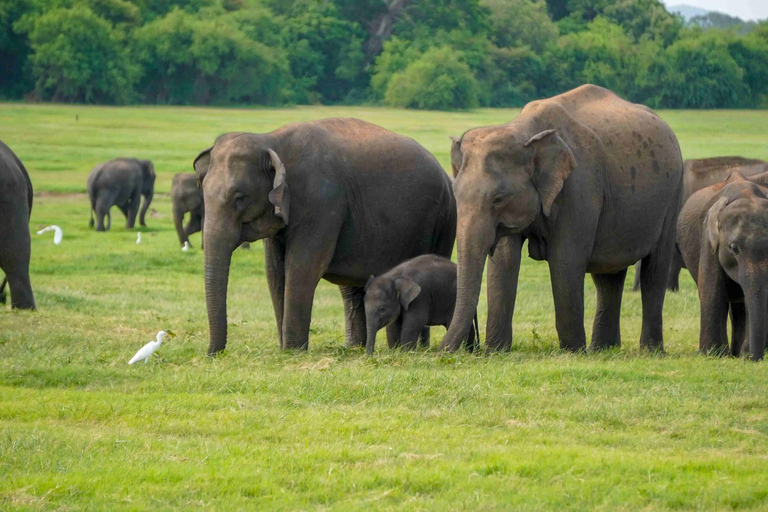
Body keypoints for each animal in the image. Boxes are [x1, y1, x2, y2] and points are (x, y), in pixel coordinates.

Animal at [194, 118, 457, 354]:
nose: (213, 354)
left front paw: (292, 351)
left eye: (240, 198)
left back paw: (415, 349)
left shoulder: (321, 202)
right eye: (202, 191)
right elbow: (275, 273)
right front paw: (284, 349)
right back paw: (353, 348)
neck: (271, 140)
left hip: (444, 220)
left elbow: (302, 267)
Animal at [441, 84, 683, 353]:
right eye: (455, 193)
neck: (522, 130)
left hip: (672, 196)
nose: (442, 351)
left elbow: (565, 259)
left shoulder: (579, 189)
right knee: (609, 275)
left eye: (498, 198)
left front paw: (572, 351)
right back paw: (603, 350)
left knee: (655, 270)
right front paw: (496, 351)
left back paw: (649, 351)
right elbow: (504, 260)